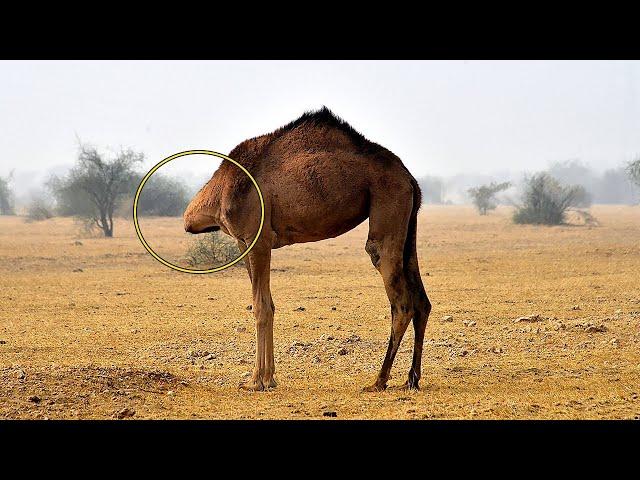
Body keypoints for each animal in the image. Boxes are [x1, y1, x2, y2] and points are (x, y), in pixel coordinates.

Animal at [186, 107, 436, 392]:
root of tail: (410, 179)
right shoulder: (244, 241)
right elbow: (269, 303)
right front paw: (269, 377)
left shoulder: (256, 238)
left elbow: (261, 307)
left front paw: (258, 380)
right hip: (410, 221)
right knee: (422, 301)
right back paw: (411, 378)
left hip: (388, 201)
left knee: (399, 296)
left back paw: (379, 380)